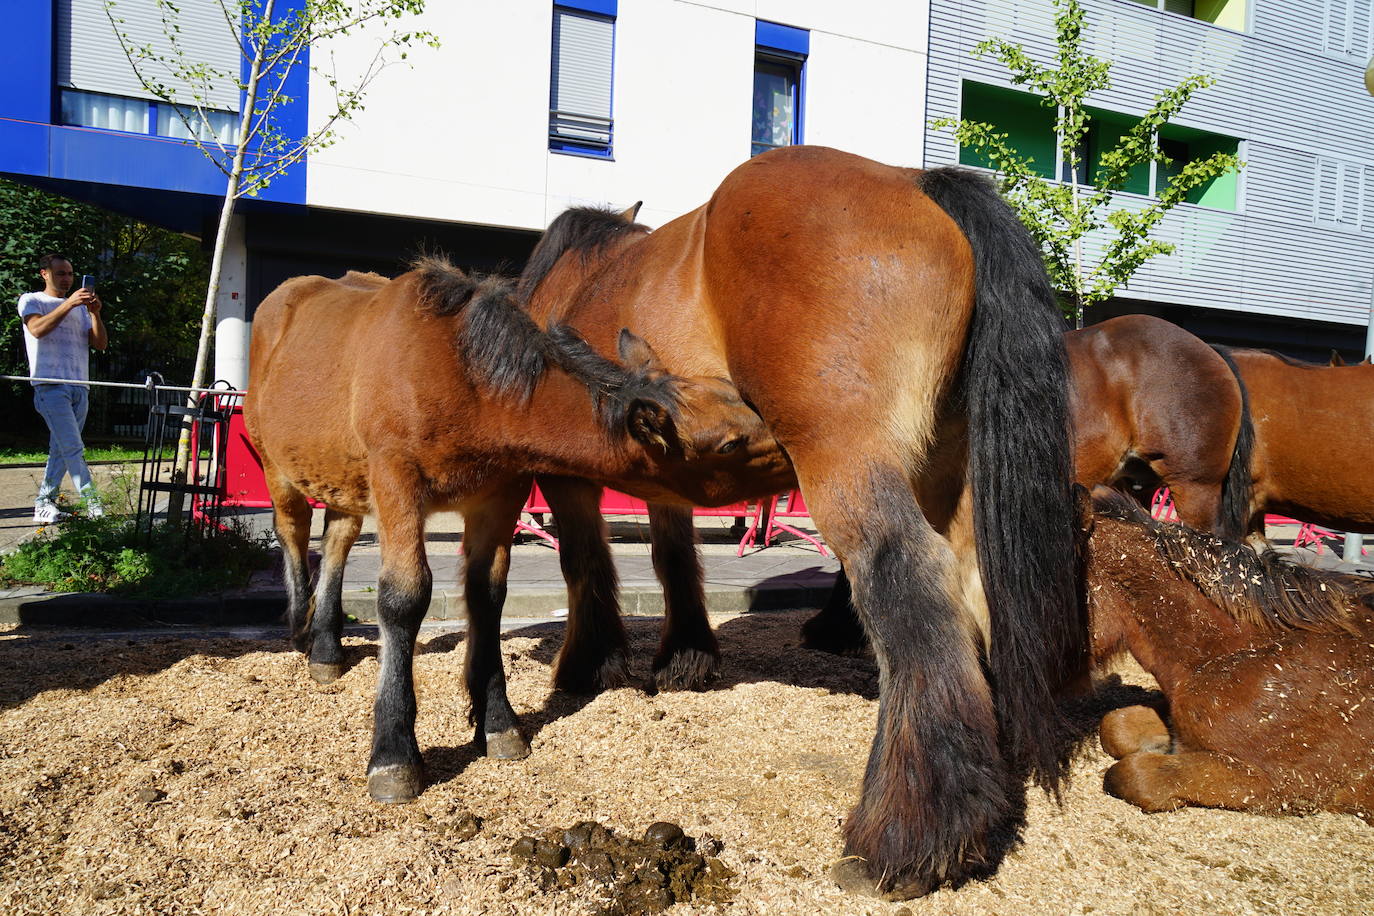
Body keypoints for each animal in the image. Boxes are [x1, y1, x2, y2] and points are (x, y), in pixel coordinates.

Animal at [241, 260, 791, 807]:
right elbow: (403, 599)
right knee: (294, 530)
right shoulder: (396, 482)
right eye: (730, 444)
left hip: (340, 476)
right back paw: (301, 629)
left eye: (739, 401)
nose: (792, 449)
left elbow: (488, 596)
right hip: (277, 466)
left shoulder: (499, 495)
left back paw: (326, 646)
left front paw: (498, 723)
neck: (459, 375)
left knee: (338, 538)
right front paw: (395, 753)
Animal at [516, 146, 1082, 900]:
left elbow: (584, 563)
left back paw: (916, 833)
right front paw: (685, 657)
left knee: (909, 579)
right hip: (945, 471)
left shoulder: (568, 480)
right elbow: (674, 558)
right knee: (971, 586)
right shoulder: (667, 475)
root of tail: (915, 181)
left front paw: (590, 664)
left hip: (846, 461)